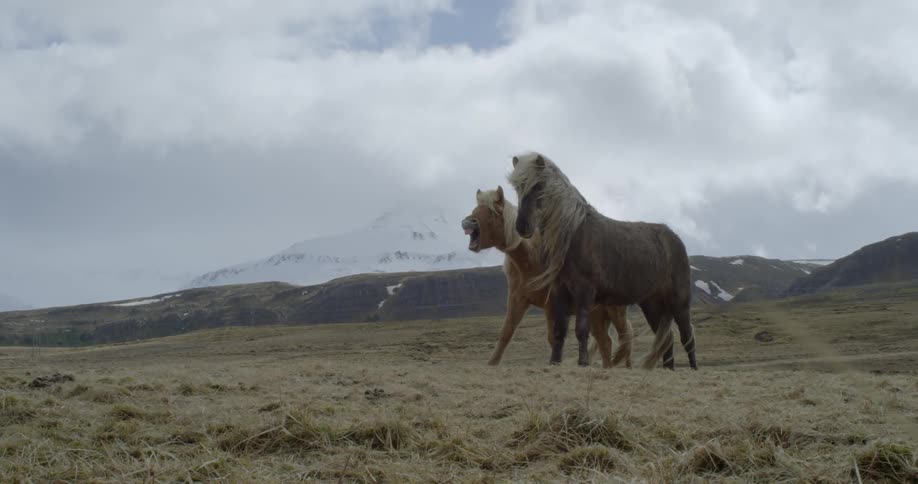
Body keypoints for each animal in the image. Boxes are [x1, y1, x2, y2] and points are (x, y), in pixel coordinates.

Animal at [462, 186, 634, 368]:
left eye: (491, 211)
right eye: (476, 208)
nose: (467, 222)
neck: (531, 261)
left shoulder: (551, 305)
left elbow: (553, 338)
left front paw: (556, 362)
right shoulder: (517, 300)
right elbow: (506, 333)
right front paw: (492, 363)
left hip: (614, 310)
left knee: (625, 337)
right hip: (596, 314)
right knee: (605, 342)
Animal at [507, 151, 697, 370]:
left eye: (539, 185)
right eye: (516, 187)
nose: (522, 227)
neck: (573, 235)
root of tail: (674, 238)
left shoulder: (585, 291)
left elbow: (581, 329)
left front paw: (583, 362)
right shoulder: (559, 291)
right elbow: (559, 331)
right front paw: (555, 361)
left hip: (679, 302)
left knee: (686, 336)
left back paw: (693, 367)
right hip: (652, 304)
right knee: (665, 339)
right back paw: (668, 368)